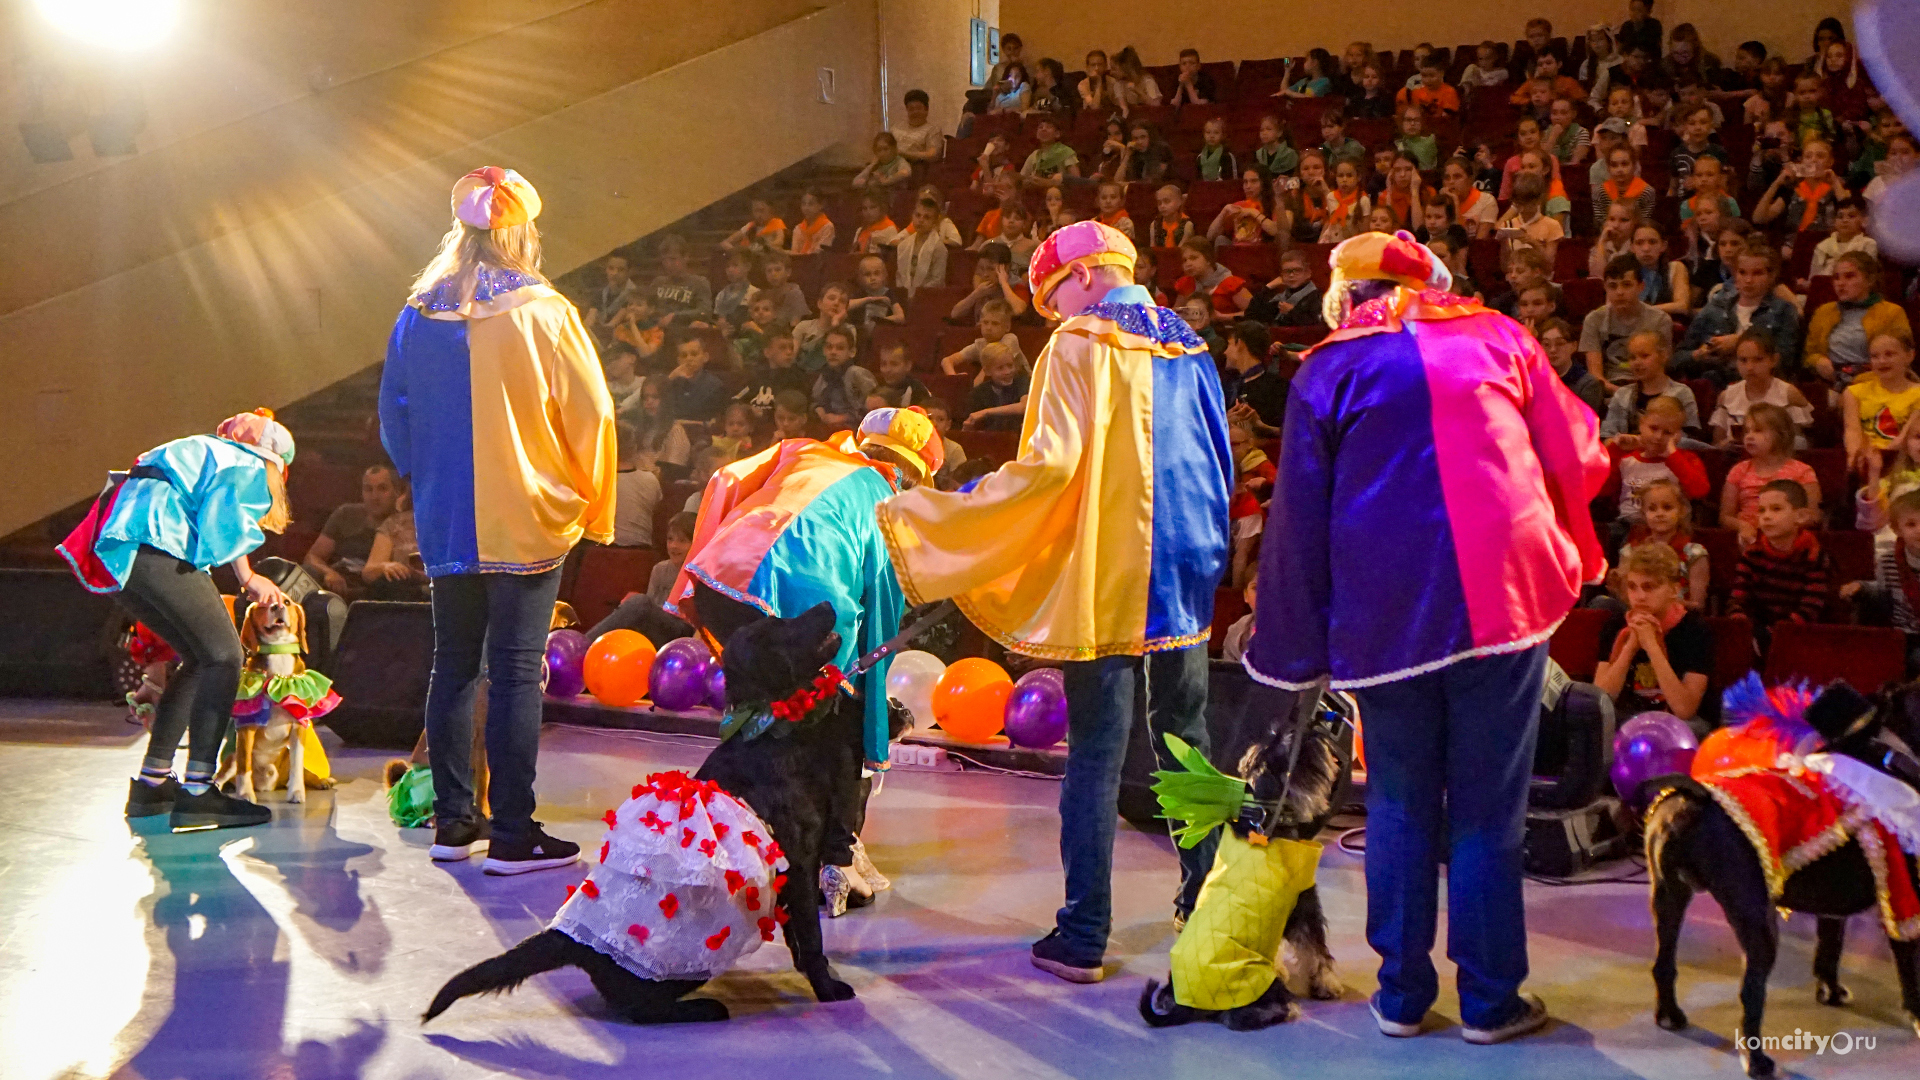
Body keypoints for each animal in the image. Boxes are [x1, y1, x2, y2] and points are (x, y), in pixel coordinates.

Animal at [430, 599, 871, 1022]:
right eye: (782, 628)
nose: (828, 604)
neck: (774, 729)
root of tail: (571, 939)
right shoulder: (800, 862)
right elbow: (812, 937)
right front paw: (828, 988)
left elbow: (799, 939)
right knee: (636, 1006)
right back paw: (699, 1009)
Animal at [1643, 676, 1920, 1068]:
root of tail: (1694, 798)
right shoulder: (1902, 898)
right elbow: (1909, 967)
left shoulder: (1834, 906)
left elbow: (1829, 947)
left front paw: (1829, 990)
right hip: (1757, 920)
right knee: (1750, 992)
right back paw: (1757, 1062)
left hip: (1668, 899)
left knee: (1663, 962)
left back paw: (1670, 1015)